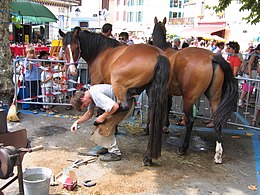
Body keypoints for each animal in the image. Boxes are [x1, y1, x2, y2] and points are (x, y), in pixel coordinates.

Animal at [59, 27, 171, 165]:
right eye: (64, 48)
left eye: (76, 47)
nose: (73, 71)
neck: (101, 52)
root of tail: (158, 54)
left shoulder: (97, 84)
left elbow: (102, 109)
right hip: (152, 93)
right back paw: (148, 157)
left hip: (118, 83)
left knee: (122, 106)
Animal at [151, 17, 239, 163]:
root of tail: (212, 57)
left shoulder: (166, 92)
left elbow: (167, 107)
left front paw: (165, 126)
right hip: (214, 97)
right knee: (217, 120)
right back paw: (218, 154)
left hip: (188, 98)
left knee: (190, 120)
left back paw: (183, 148)